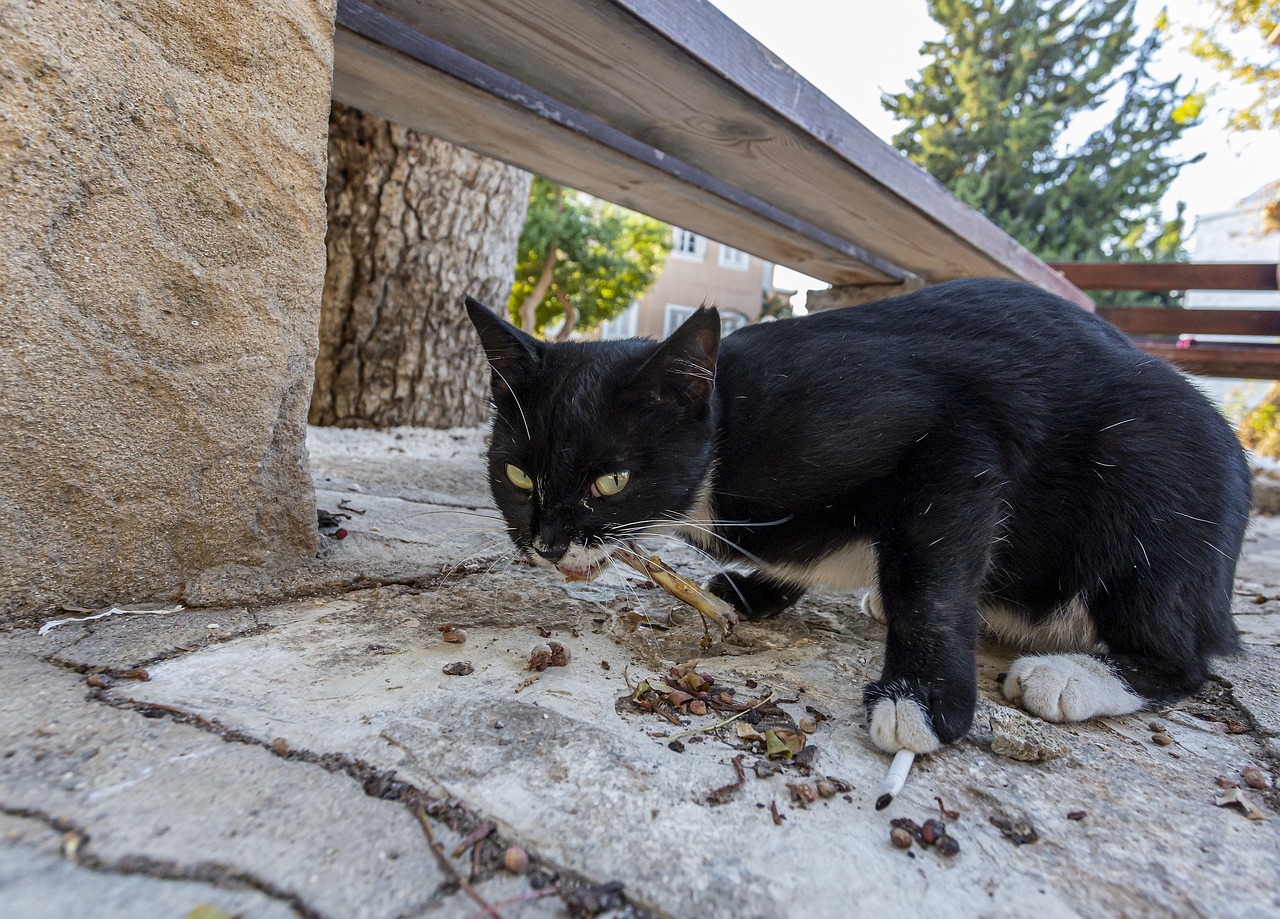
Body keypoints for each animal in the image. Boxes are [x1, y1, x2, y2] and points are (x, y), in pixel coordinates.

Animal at [463, 280, 1249, 757]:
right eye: (518, 474)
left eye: (612, 480)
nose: (546, 542)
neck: (729, 426)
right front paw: (752, 589)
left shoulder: (955, 434)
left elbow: (930, 577)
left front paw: (922, 699)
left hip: (1147, 469)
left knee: (1184, 660)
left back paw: (1074, 675)